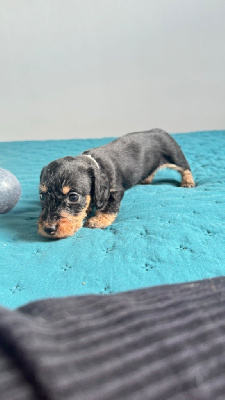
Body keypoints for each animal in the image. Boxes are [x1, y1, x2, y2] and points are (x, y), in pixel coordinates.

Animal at [37, 130, 194, 239]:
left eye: (73, 197)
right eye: (42, 196)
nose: (48, 229)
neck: (95, 163)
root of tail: (161, 130)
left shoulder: (115, 191)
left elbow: (108, 206)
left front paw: (98, 220)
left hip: (175, 156)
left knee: (186, 168)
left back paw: (188, 182)